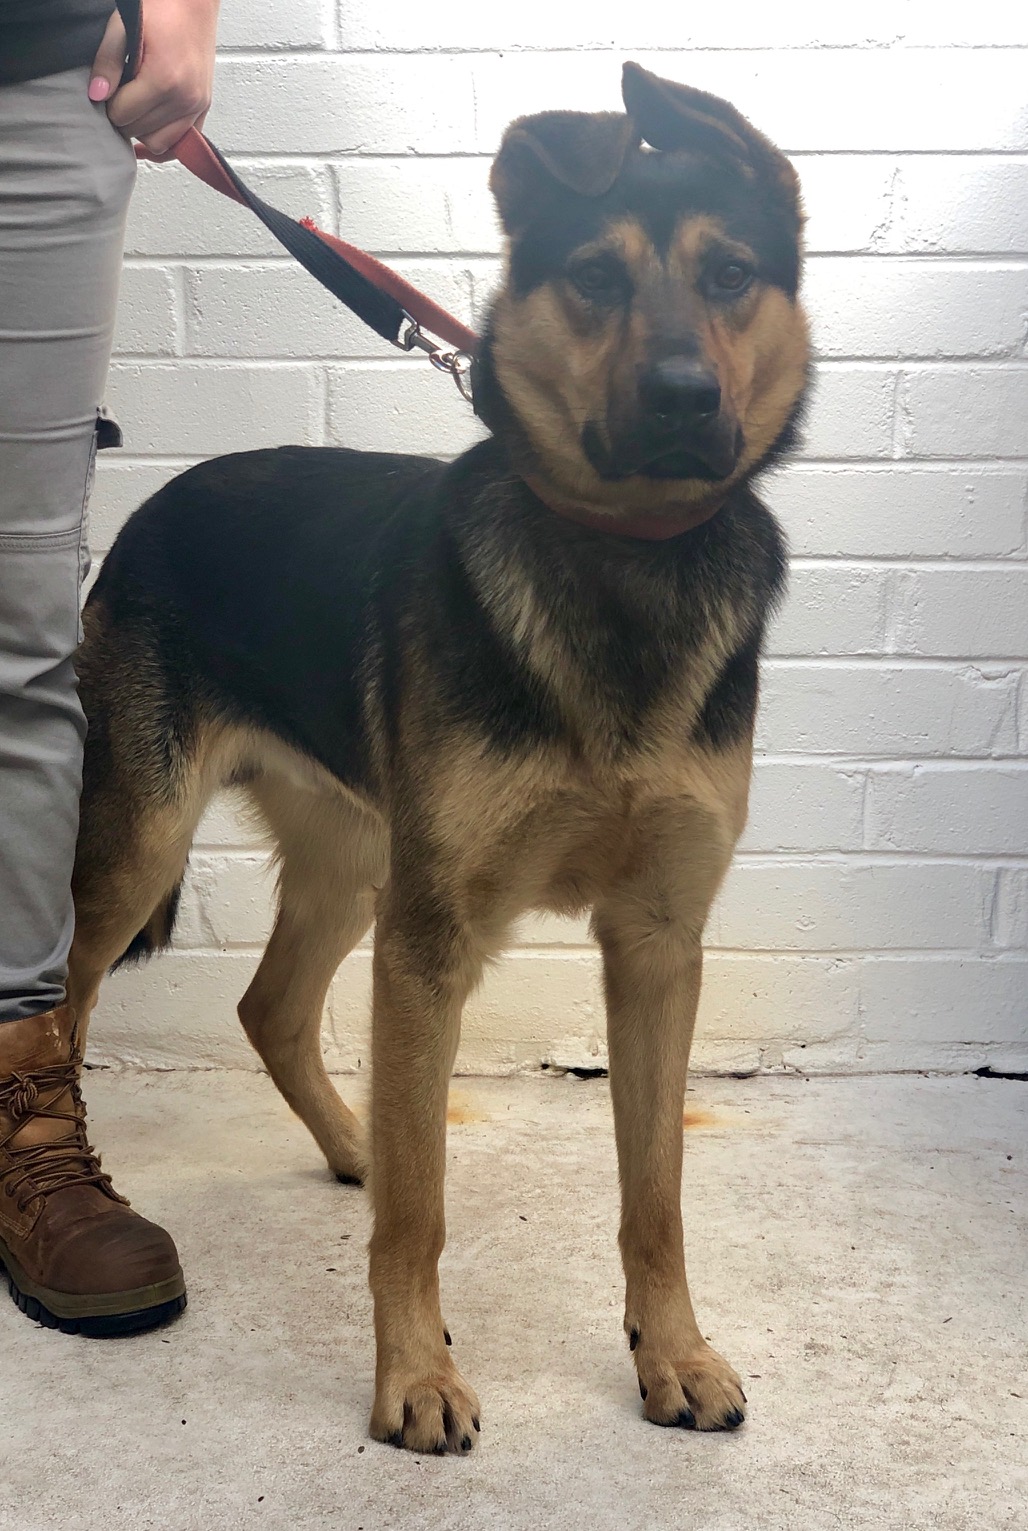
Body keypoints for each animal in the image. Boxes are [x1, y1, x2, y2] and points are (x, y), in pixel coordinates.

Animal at [68, 62, 810, 1452]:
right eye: (595, 276)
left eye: (732, 273)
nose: (683, 398)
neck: (618, 558)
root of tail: (153, 504)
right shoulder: (434, 942)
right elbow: (421, 1215)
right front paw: (413, 1373)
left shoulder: (654, 946)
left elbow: (654, 1191)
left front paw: (672, 1353)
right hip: (142, 849)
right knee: (58, 1000)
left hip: (357, 859)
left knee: (272, 1009)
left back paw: (360, 1140)